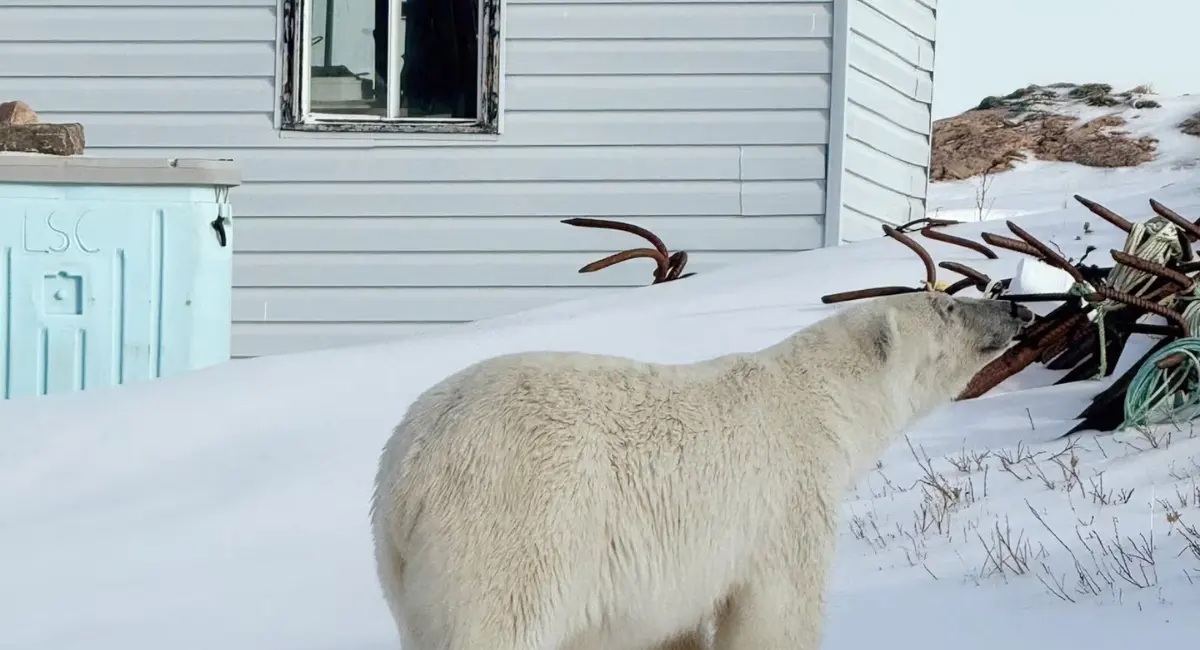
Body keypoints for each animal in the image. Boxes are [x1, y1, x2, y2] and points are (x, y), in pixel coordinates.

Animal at [369, 291, 1032, 650]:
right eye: (948, 303)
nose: (1016, 307)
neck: (821, 399)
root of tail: (412, 462)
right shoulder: (786, 497)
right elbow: (776, 611)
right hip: (518, 524)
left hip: (403, 573)